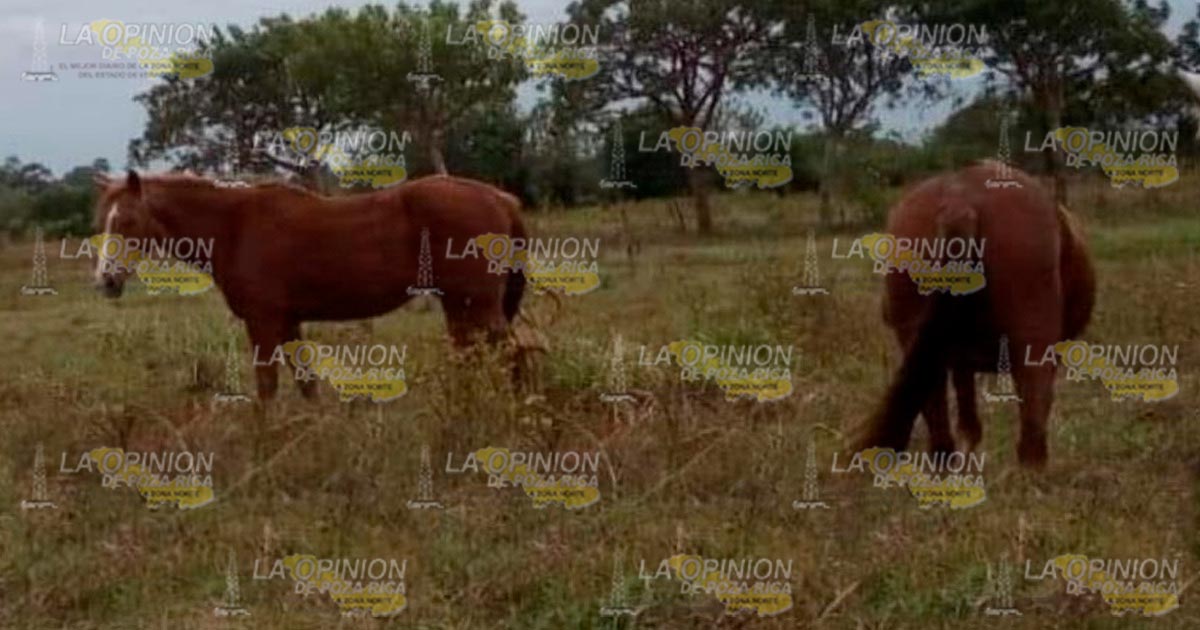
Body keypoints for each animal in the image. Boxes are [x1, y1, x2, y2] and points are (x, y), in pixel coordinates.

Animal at [92, 171, 528, 400]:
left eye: (127, 221)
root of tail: (498, 197)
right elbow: (306, 382)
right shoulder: (289, 322)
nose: (105, 281)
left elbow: (267, 386)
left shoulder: (263, 322)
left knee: (512, 354)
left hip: (478, 305)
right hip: (459, 305)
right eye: (103, 220)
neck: (235, 226)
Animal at [854, 161, 1096, 467]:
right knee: (1032, 419)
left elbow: (967, 417)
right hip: (1032, 341)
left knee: (934, 411)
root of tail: (960, 198)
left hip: (916, 335)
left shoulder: (959, 357)